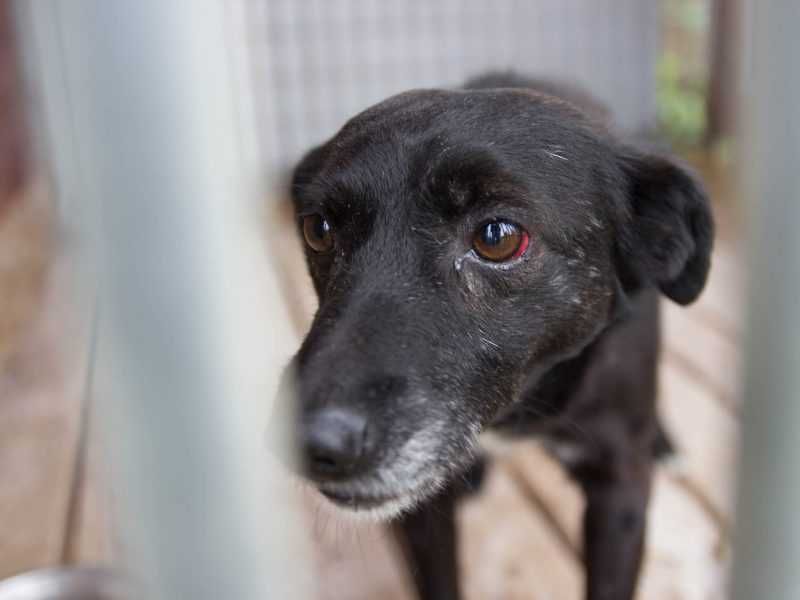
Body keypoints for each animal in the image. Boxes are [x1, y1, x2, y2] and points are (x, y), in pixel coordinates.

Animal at [282, 74, 712, 600]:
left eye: (498, 237)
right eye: (318, 229)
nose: (310, 442)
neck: (519, 408)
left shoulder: (620, 490)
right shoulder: (425, 510)